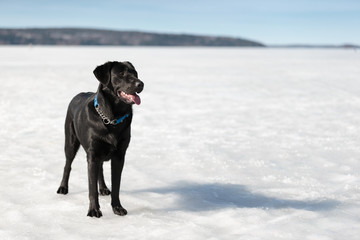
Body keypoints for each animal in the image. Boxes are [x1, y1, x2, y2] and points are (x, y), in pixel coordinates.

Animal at [56, 61, 143, 218]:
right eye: (121, 74)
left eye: (135, 73)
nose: (141, 84)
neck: (111, 119)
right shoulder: (92, 155)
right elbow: (91, 188)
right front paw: (94, 210)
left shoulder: (119, 156)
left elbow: (116, 185)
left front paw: (117, 207)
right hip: (70, 142)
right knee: (68, 165)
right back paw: (63, 188)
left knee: (100, 170)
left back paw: (103, 188)